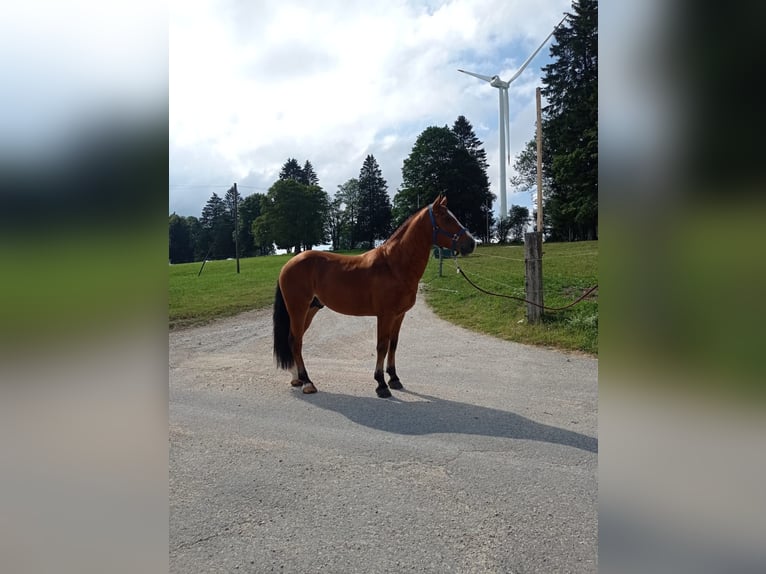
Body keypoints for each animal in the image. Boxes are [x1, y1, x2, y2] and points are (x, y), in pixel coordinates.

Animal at [272, 196, 474, 398]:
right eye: (446, 218)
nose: (471, 243)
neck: (393, 266)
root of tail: (289, 264)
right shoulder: (385, 315)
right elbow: (382, 346)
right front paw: (381, 384)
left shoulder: (399, 315)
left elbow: (393, 344)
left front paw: (394, 379)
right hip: (298, 309)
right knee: (296, 341)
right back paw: (307, 382)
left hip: (310, 309)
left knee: (294, 340)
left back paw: (297, 378)